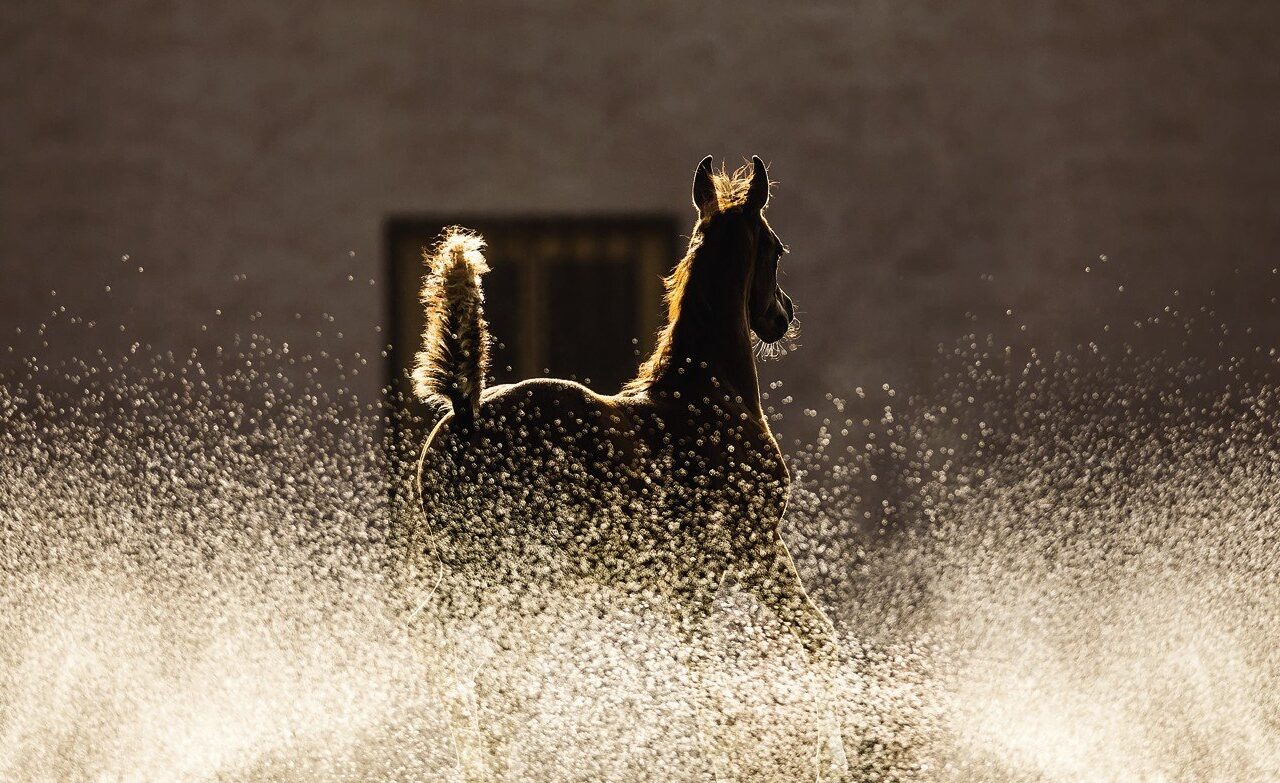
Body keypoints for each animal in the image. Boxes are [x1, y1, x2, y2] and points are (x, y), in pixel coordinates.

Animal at [407, 156, 847, 781]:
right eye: (777, 247)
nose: (780, 316)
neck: (708, 390)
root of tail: (464, 411)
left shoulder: (690, 578)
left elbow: (699, 670)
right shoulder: (756, 543)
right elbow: (813, 642)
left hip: (479, 573)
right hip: (511, 573)